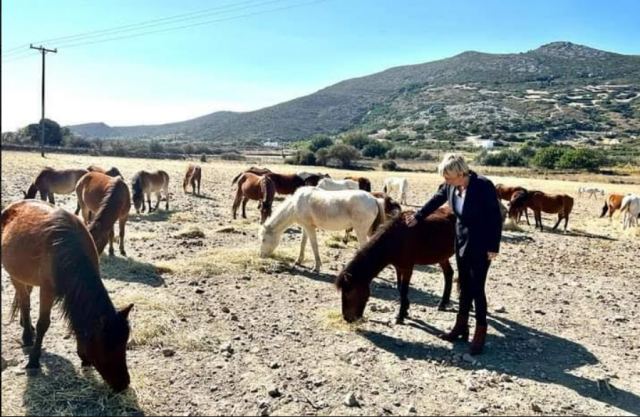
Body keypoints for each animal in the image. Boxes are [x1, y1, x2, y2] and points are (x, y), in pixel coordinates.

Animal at [0, 200, 134, 392]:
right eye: (106, 346)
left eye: (124, 344)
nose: (123, 383)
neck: (66, 250)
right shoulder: (47, 289)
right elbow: (43, 324)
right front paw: (33, 361)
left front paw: (83, 356)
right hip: (14, 275)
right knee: (24, 301)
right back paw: (27, 335)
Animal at [256, 187, 384, 272]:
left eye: (263, 239)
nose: (261, 255)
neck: (295, 205)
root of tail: (373, 199)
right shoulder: (305, 227)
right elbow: (303, 243)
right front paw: (298, 261)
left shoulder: (310, 227)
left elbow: (314, 245)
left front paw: (316, 267)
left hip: (360, 231)